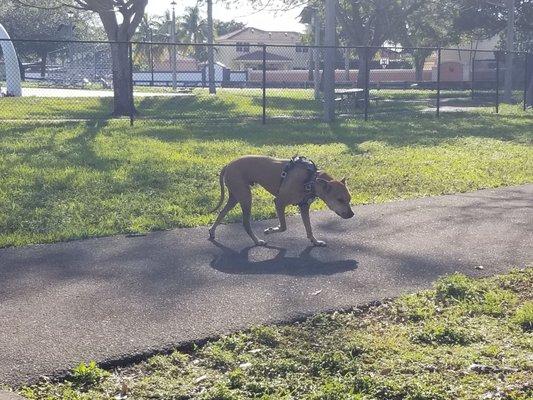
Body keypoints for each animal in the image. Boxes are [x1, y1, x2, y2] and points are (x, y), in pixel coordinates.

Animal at [209, 155, 354, 245]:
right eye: (340, 200)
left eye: (349, 199)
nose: (352, 214)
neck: (310, 179)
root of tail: (228, 164)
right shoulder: (279, 203)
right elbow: (283, 227)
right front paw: (271, 230)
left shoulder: (304, 207)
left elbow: (309, 227)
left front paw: (315, 241)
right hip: (245, 197)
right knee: (245, 223)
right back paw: (257, 241)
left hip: (235, 197)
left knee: (222, 213)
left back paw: (212, 231)